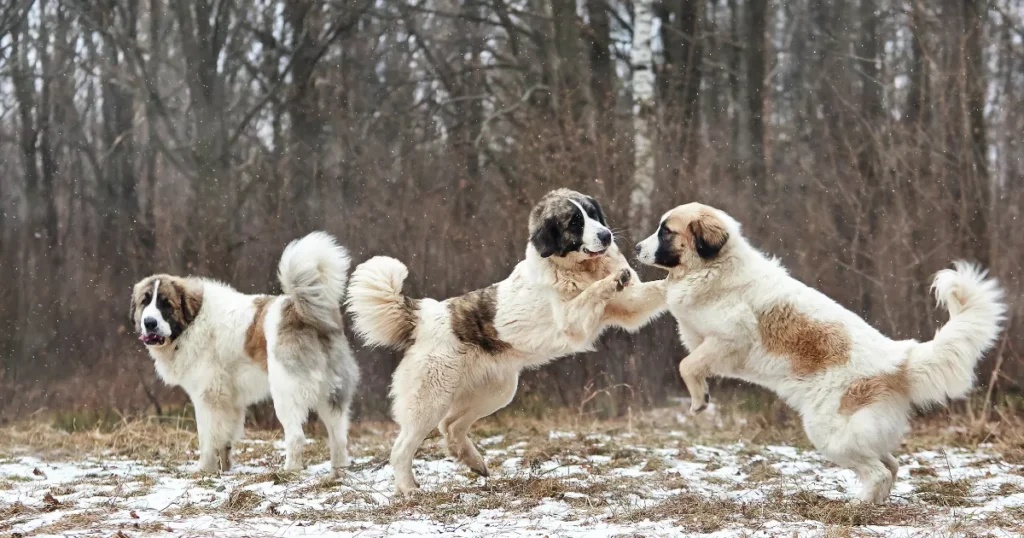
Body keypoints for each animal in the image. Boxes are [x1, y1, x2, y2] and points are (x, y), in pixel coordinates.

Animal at [130, 230, 360, 473]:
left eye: (166, 304)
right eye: (145, 302)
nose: (149, 323)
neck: (193, 321)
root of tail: (303, 311)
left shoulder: (208, 397)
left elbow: (207, 438)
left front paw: (204, 469)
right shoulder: (229, 401)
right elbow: (224, 439)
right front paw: (225, 468)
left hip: (285, 392)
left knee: (296, 437)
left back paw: (289, 470)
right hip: (332, 394)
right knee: (339, 437)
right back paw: (339, 469)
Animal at [348, 188, 667, 495]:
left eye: (593, 214)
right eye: (575, 223)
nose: (606, 235)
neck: (580, 269)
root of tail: (424, 315)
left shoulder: (628, 306)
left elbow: (655, 290)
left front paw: (676, 281)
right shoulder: (572, 320)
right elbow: (591, 292)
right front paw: (611, 280)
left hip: (497, 392)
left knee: (450, 425)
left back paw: (474, 463)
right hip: (430, 399)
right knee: (404, 446)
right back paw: (408, 489)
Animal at [634, 202, 1003, 504]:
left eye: (666, 231)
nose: (636, 247)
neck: (716, 268)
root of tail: (900, 359)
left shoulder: (730, 338)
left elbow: (687, 365)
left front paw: (699, 401)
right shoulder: (700, 336)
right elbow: (689, 354)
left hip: (830, 433)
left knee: (880, 471)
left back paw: (857, 507)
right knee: (891, 465)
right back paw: (873, 503)